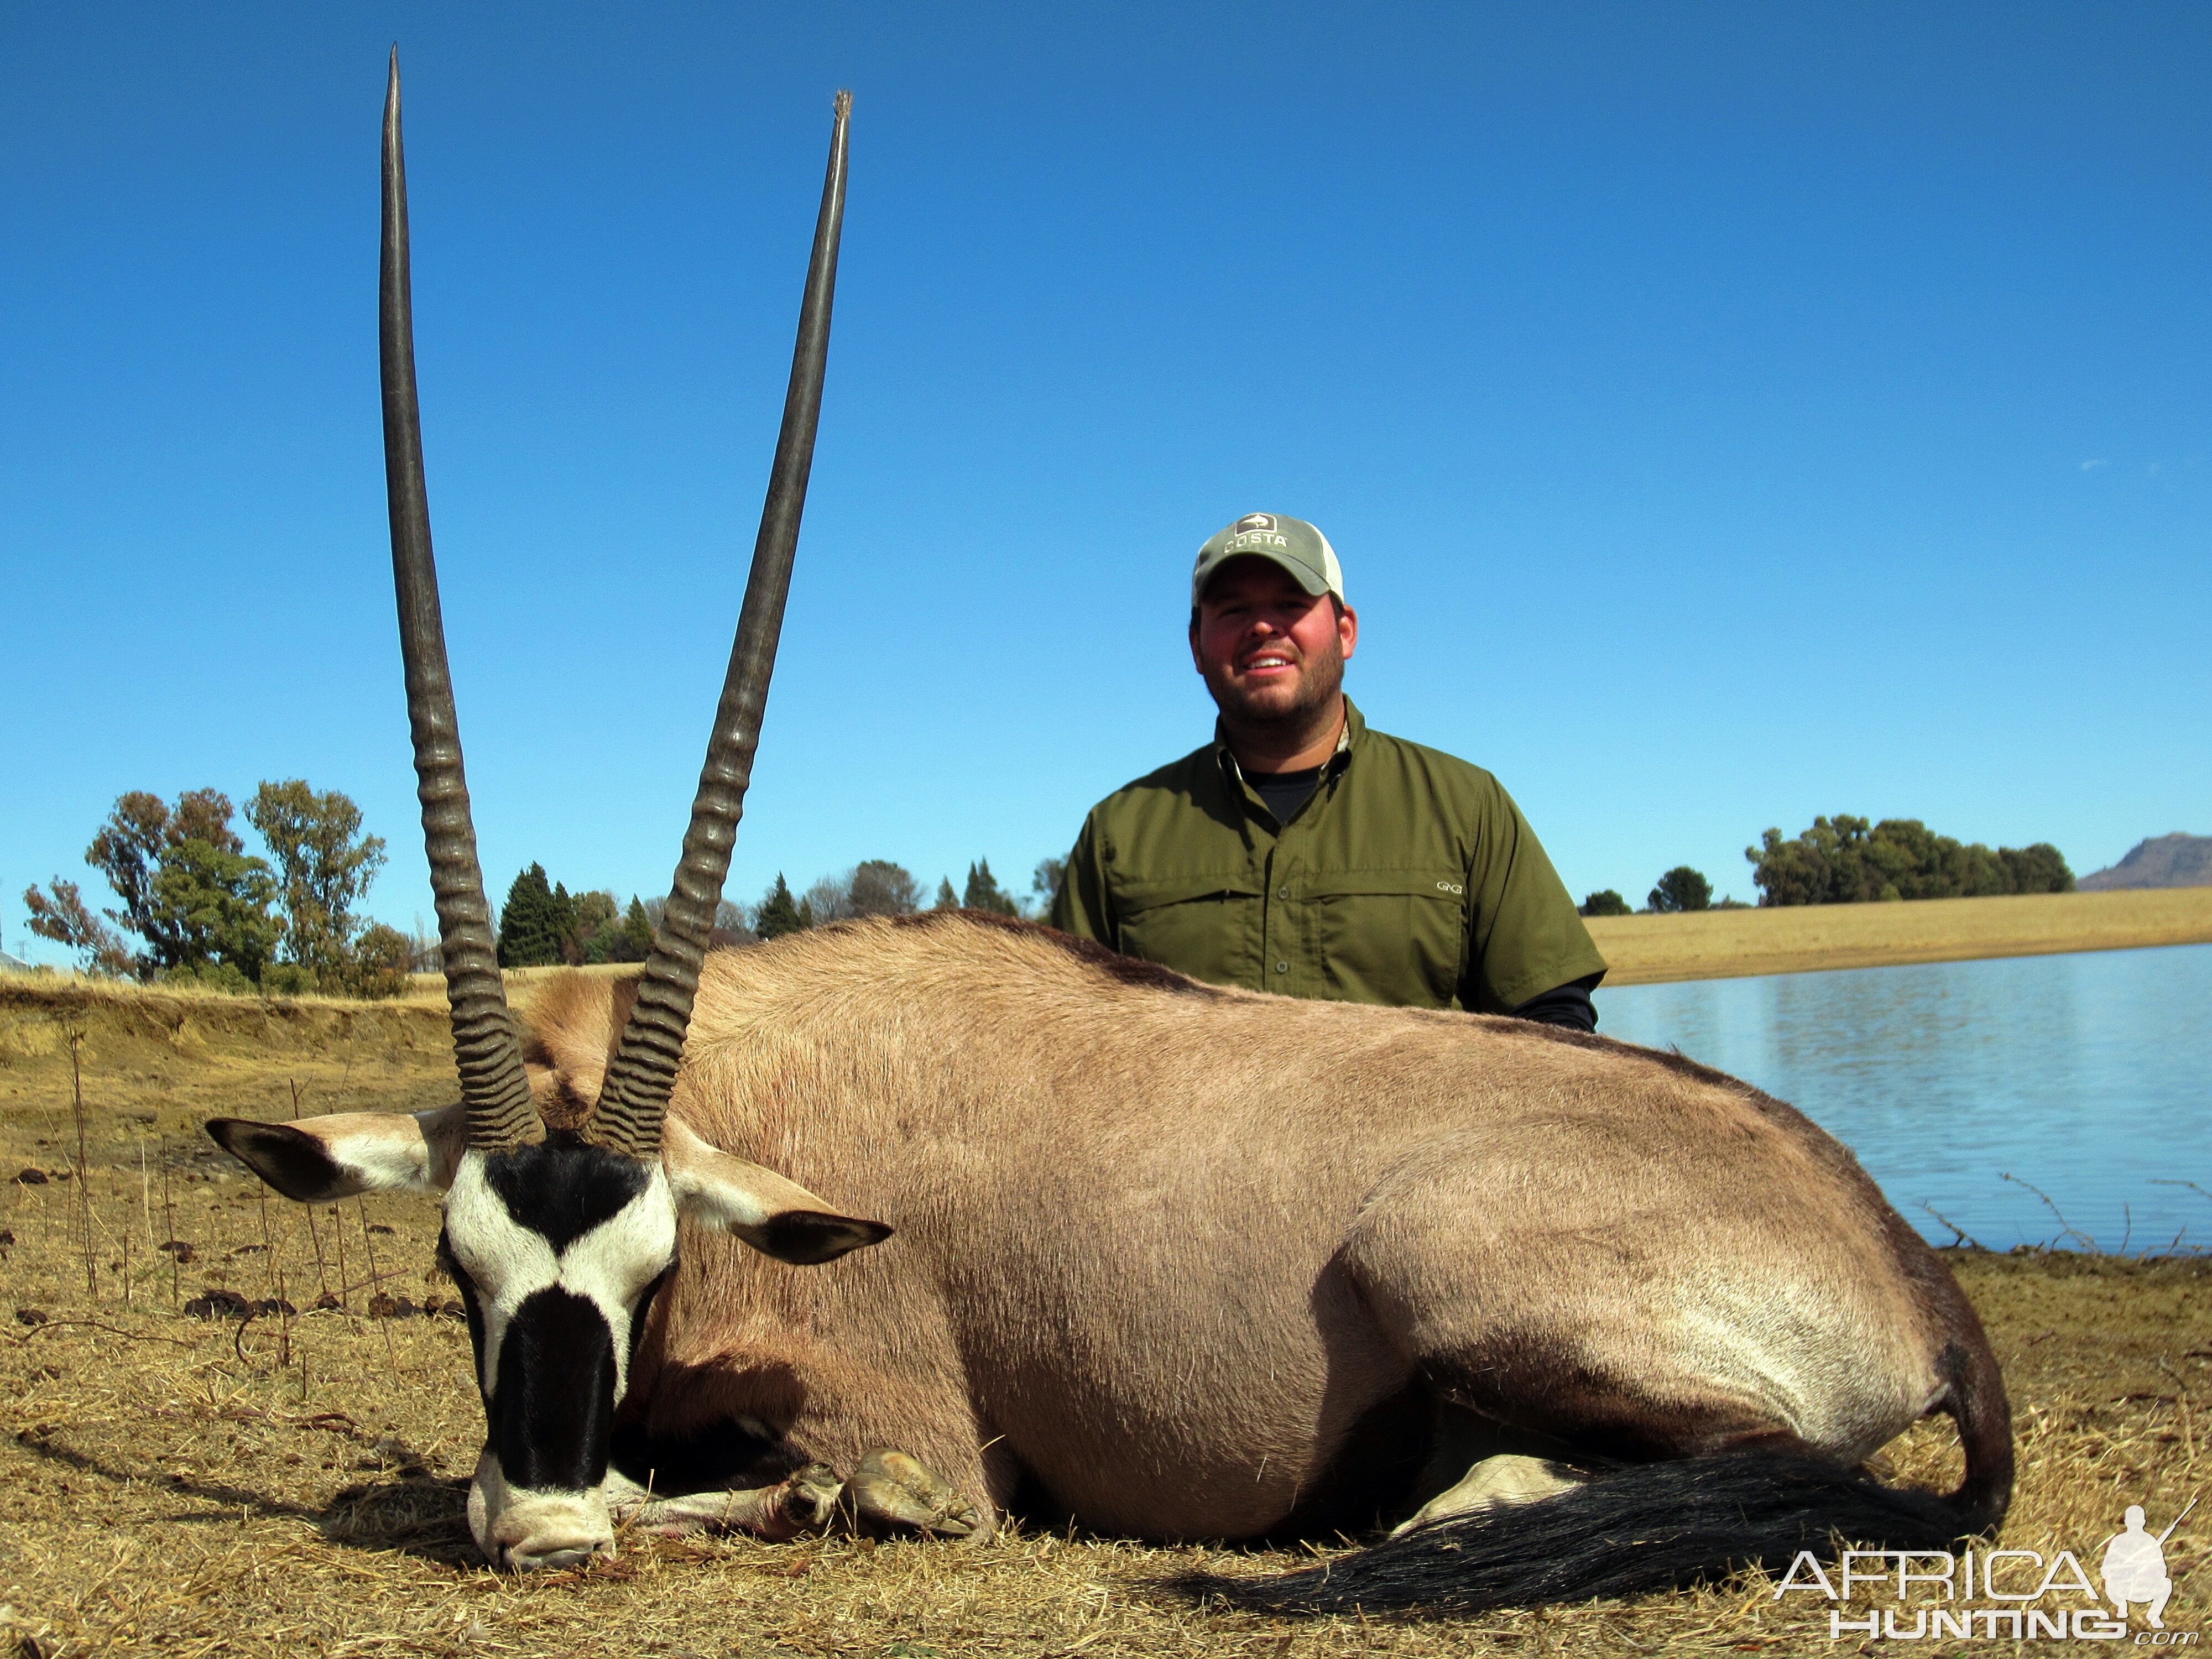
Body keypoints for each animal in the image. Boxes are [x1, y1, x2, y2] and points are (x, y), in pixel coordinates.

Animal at [204, 61, 2008, 1610]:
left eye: (651, 1272)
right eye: (459, 1266)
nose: (546, 1528)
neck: (760, 1079)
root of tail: (1905, 1269)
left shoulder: (906, 1424)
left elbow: (853, 1488)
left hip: (1447, 1262)